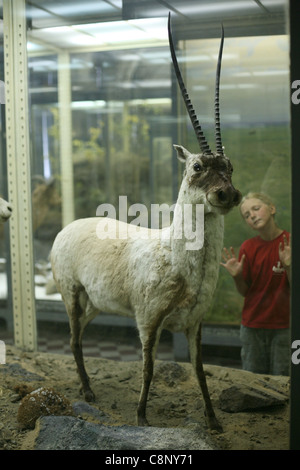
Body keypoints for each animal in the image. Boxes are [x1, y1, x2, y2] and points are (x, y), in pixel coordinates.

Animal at [49, 13, 241, 434]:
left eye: (230, 166)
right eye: (197, 167)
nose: (228, 195)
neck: (176, 257)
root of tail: (66, 228)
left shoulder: (195, 323)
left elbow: (201, 370)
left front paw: (214, 420)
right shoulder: (148, 320)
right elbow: (149, 367)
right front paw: (141, 417)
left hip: (93, 303)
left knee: (79, 335)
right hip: (71, 293)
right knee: (73, 340)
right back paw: (88, 392)